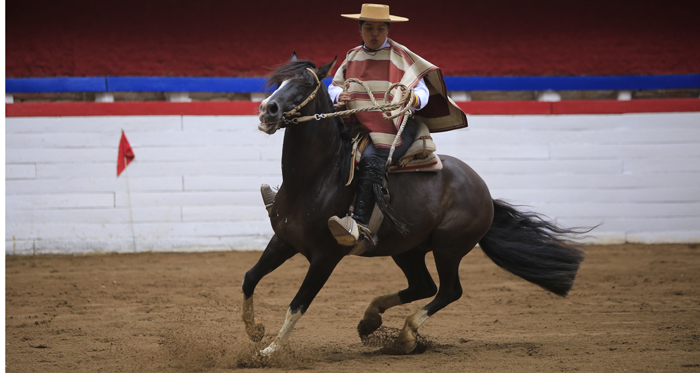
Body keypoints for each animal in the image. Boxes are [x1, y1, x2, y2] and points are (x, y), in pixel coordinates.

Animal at [243, 54, 588, 354]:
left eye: (304, 83)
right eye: (278, 82)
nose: (267, 109)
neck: (318, 179)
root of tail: (483, 191)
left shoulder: (326, 256)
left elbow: (298, 303)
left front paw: (269, 351)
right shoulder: (284, 240)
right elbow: (250, 278)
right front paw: (254, 330)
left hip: (448, 247)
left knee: (448, 290)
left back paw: (406, 335)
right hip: (407, 249)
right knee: (423, 286)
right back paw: (370, 321)